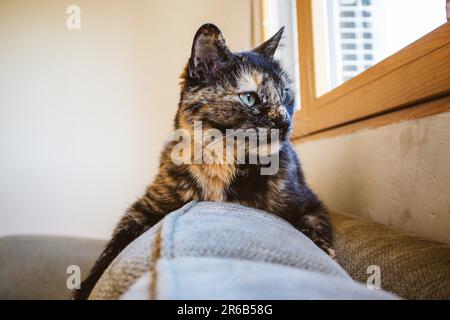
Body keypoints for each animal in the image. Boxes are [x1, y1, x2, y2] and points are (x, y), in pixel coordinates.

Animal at [74, 23, 332, 300]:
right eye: (249, 98)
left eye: (285, 94)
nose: (285, 122)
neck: (223, 162)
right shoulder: (144, 207)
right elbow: (112, 248)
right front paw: (87, 286)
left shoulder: (311, 205)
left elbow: (317, 234)